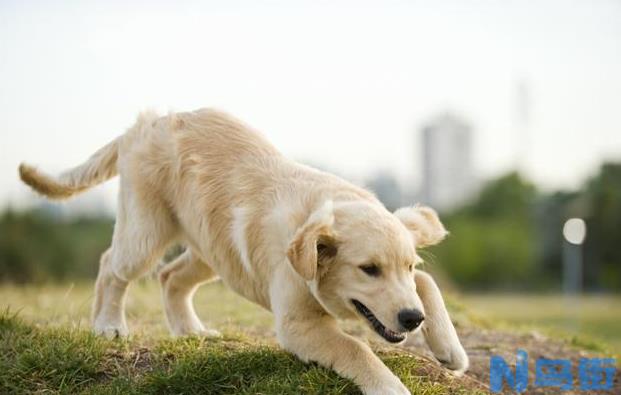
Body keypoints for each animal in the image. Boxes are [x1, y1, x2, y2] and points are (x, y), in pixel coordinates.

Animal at [18, 109, 464, 395]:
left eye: (407, 265)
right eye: (368, 269)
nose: (411, 319)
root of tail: (148, 122)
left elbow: (428, 283)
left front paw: (450, 350)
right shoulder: (299, 325)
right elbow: (356, 348)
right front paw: (390, 386)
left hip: (213, 252)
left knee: (169, 276)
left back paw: (191, 331)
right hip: (146, 232)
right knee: (112, 265)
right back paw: (108, 324)